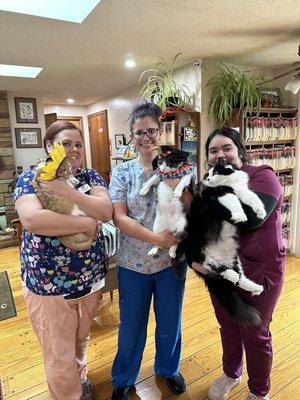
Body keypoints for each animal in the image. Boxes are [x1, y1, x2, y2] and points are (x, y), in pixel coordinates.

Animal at [182, 161, 266, 326]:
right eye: (207, 175)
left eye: (215, 172)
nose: (207, 179)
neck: (229, 183)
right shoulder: (222, 193)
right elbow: (235, 204)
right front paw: (240, 217)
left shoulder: (242, 190)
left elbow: (254, 199)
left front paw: (261, 212)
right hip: (199, 253)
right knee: (217, 268)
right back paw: (233, 276)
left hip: (235, 259)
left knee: (240, 279)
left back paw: (257, 288)